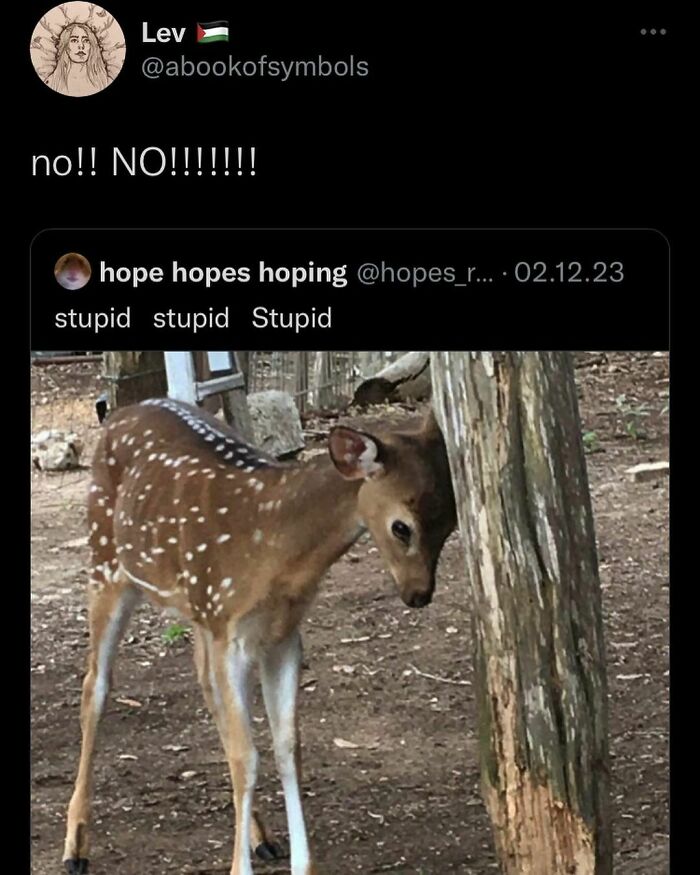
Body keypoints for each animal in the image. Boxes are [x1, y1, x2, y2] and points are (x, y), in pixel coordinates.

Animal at [62, 397, 457, 875]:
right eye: (402, 526)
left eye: (451, 523)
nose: (419, 594)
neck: (274, 549)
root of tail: (120, 411)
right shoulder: (230, 635)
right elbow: (246, 757)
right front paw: (238, 867)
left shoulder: (280, 636)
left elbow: (288, 748)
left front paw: (303, 864)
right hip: (105, 563)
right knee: (94, 688)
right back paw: (75, 847)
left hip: (198, 611)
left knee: (204, 686)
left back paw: (260, 836)